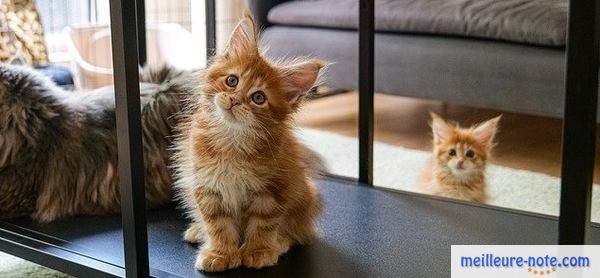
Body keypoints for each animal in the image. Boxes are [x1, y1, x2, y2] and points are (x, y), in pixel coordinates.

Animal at [171, 12, 326, 272]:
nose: (234, 100)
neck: (232, 142)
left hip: (305, 198)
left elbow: (263, 224)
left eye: (258, 98)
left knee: (298, 233)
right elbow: (217, 225)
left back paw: (280, 242)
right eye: (232, 81)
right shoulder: (206, 186)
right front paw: (220, 252)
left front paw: (258, 250)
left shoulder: (273, 189)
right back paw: (197, 230)